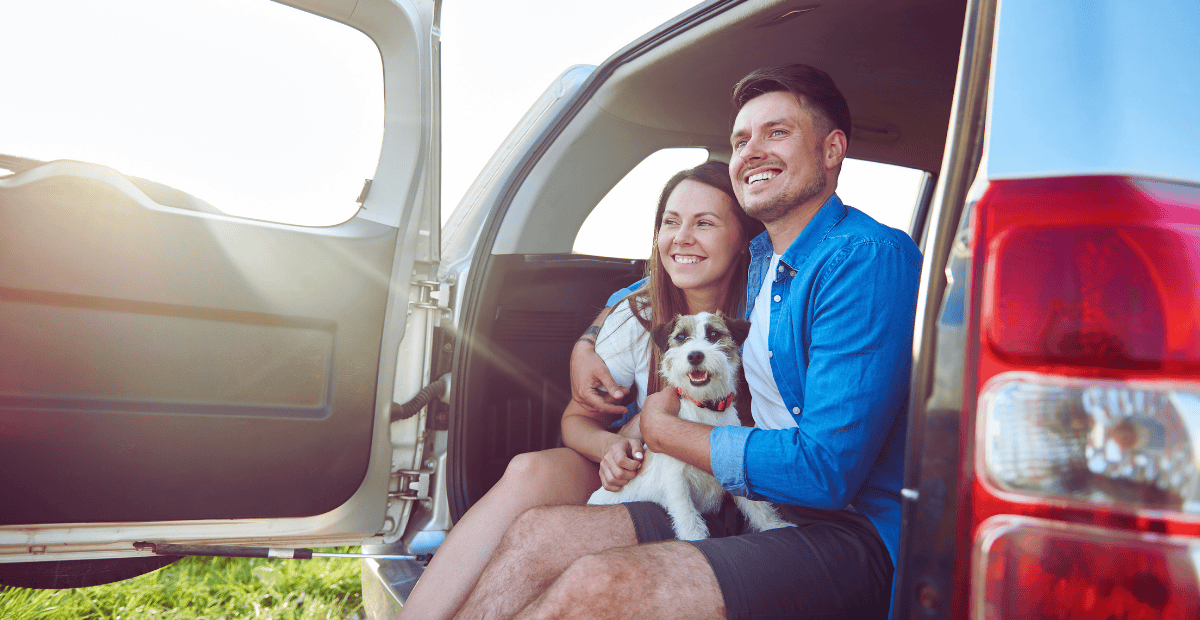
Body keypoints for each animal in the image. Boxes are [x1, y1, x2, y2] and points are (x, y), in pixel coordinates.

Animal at [585, 311, 792, 539]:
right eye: (681, 337)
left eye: (713, 334)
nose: (695, 356)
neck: (705, 408)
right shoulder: (676, 481)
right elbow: (687, 516)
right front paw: (695, 538)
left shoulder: (729, 471)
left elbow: (757, 508)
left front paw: (775, 525)